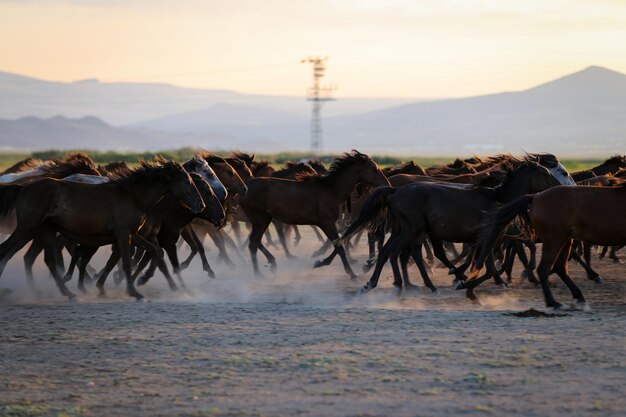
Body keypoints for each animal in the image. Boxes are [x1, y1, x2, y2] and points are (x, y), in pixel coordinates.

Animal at [238, 150, 388, 276]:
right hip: (260, 219)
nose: (386, 183)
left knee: (256, 241)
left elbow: (340, 241)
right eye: (374, 168)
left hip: (265, 219)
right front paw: (351, 274)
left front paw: (321, 261)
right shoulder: (327, 223)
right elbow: (339, 246)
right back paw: (259, 273)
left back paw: (271, 263)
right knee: (253, 243)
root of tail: (245, 187)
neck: (331, 191)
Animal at [472, 184, 624, 308]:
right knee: (544, 268)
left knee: (560, 267)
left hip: (565, 239)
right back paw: (553, 302)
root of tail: (535, 197)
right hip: (555, 239)